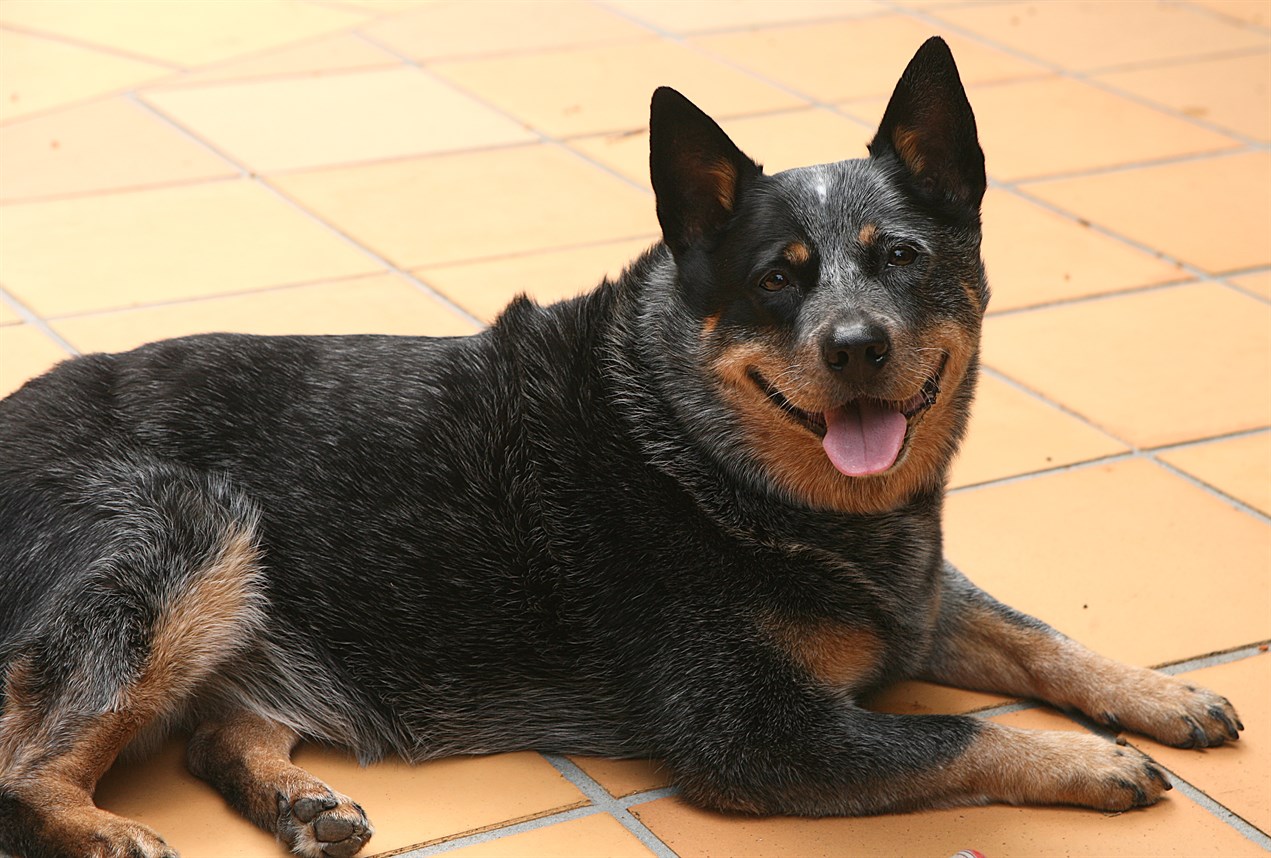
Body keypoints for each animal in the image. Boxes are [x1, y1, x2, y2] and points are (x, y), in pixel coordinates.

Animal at [0, 38, 1240, 858]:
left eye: (897, 256)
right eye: (776, 277)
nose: (854, 346)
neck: (699, 456)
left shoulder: (916, 599)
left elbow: (1032, 638)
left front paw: (1154, 695)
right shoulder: (754, 731)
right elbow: (959, 735)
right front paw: (1088, 760)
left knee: (215, 736)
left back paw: (293, 799)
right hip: (194, 527)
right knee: (22, 768)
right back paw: (103, 833)